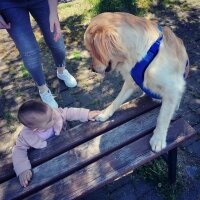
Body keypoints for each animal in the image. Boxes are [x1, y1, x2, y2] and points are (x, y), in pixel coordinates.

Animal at [84, 12, 189, 152]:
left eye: (92, 51)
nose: (92, 69)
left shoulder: (173, 88)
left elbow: (163, 117)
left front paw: (158, 138)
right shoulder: (130, 81)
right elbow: (117, 100)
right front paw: (105, 114)